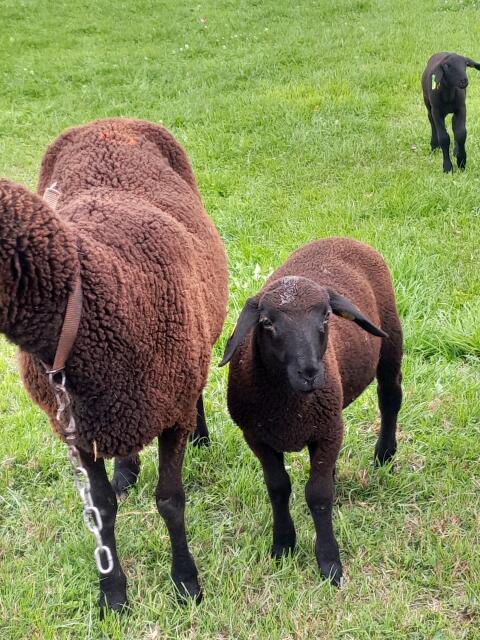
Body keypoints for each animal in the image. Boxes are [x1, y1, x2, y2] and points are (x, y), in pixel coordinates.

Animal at [0, 118, 228, 613]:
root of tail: (107, 122)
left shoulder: (172, 411)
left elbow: (170, 501)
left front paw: (186, 583)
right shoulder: (75, 427)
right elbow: (101, 509)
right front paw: (113, 594)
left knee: (199, 385)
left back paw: (200, 437)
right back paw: (126, 468)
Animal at [220, 238, 402, 585]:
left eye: (327, 317)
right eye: (267, 323)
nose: (310, 373)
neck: (289, 407)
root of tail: (340, 237)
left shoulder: (327, 431)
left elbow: (318, 495)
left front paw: (329, 563)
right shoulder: (257, 438)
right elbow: (278, 488)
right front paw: (283, 546)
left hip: (390, 338)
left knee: (390, 398)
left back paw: (384, 454)